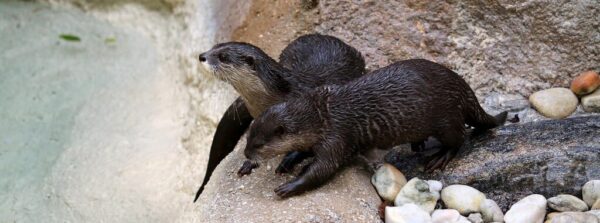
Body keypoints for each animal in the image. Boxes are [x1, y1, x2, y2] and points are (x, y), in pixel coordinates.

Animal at [244, 58, 506, 197]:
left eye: (259, 144)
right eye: (248, 138)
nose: (246, 154)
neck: (321, 117)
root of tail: (461, 85)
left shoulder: (336, 137)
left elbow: (323, 168)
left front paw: (290, 186)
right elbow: (303, 151)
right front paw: (287, 161)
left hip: (446, 116)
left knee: (459, 138)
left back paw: (440, 156)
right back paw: (417, 144)